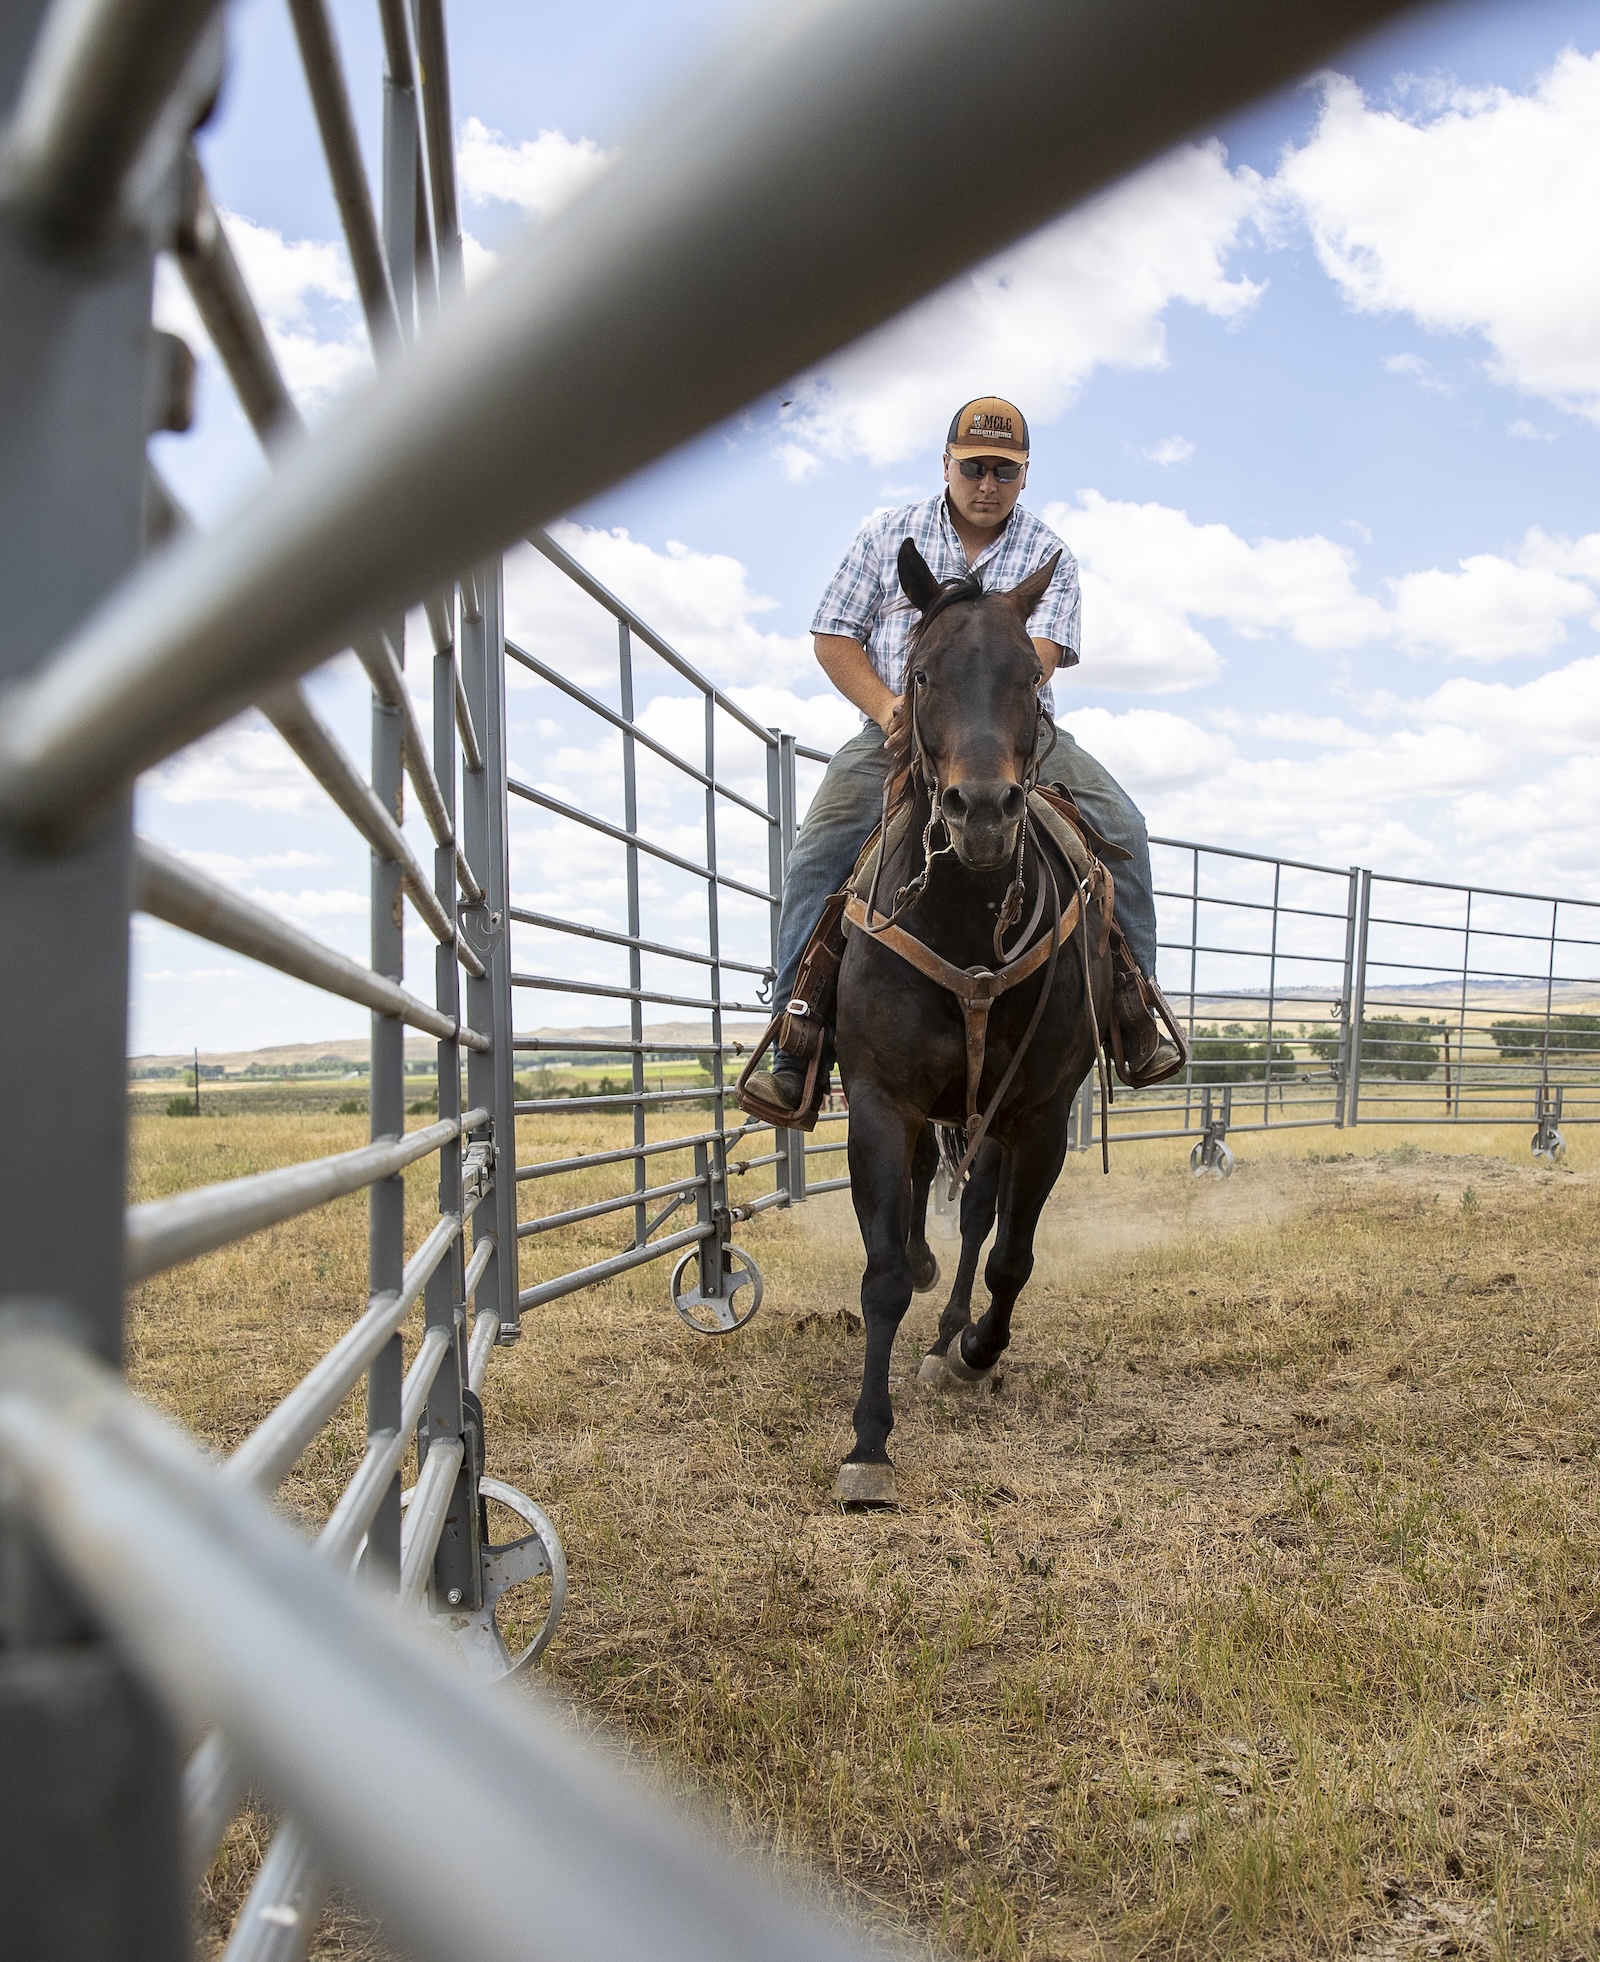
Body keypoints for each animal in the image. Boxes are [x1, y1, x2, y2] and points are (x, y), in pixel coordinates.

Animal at [830, 539, 1113, 1506]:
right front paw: (868, 1445)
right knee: (928, 1199)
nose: (982, 811)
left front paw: (976, 1350)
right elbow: (881, 1272)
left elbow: (1010, 1255)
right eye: (920, 672)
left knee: (982, 1218)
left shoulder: (1042, 1111)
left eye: (1031, 675)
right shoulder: (879, 1099)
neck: (962, 918)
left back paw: (952, 1335)